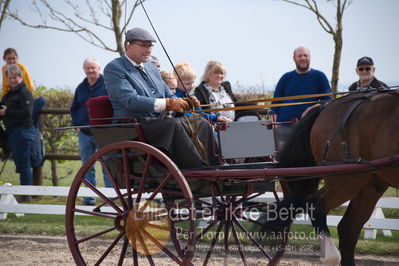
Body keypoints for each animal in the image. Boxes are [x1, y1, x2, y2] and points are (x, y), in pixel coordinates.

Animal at [260, 90, 399, 266]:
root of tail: (326, 106)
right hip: (346, 180)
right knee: (315, 204)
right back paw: (330, 256)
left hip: (370, 184)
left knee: (348, 229)